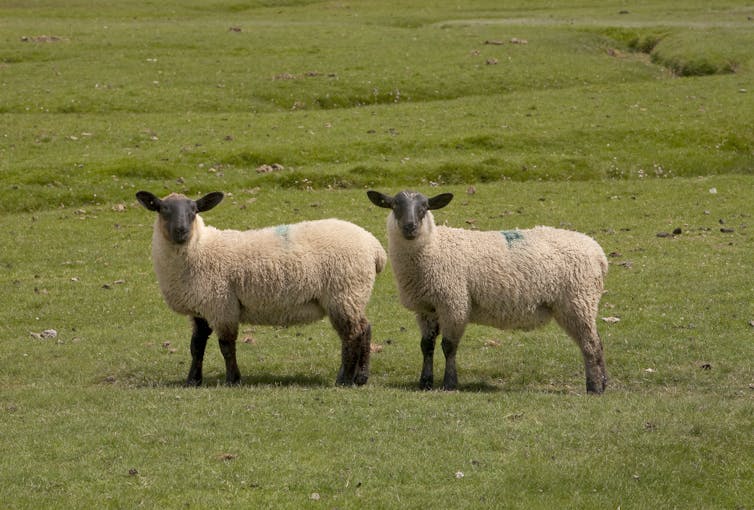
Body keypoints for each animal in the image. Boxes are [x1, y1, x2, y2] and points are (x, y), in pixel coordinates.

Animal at [136, 190, 386, 387]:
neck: (200, 248)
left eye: (194, 210)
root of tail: (375, 247)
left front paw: (233, 380)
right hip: (352, 295)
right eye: (162, 209)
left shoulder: (221, 303)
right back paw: (360, 378)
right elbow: (196, 346)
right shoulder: (200, 308)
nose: (181, 230)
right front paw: (192, 381)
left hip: (344, 293)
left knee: (351, 335)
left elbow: (226, 345)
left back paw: (344, 380)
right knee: (365, 329)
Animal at [367, 190, 608, 394]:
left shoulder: (454, 302)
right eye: (394, 205)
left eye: (425, 207)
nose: (410, 226)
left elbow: (449, 346)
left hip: (578, 300)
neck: (433, 247)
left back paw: (595, 387)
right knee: (597, 341)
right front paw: (425, 382)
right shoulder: (426, 308)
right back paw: (604, 383)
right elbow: (426, 346)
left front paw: (449, 384)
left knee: (591, 344)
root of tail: (599, 253)